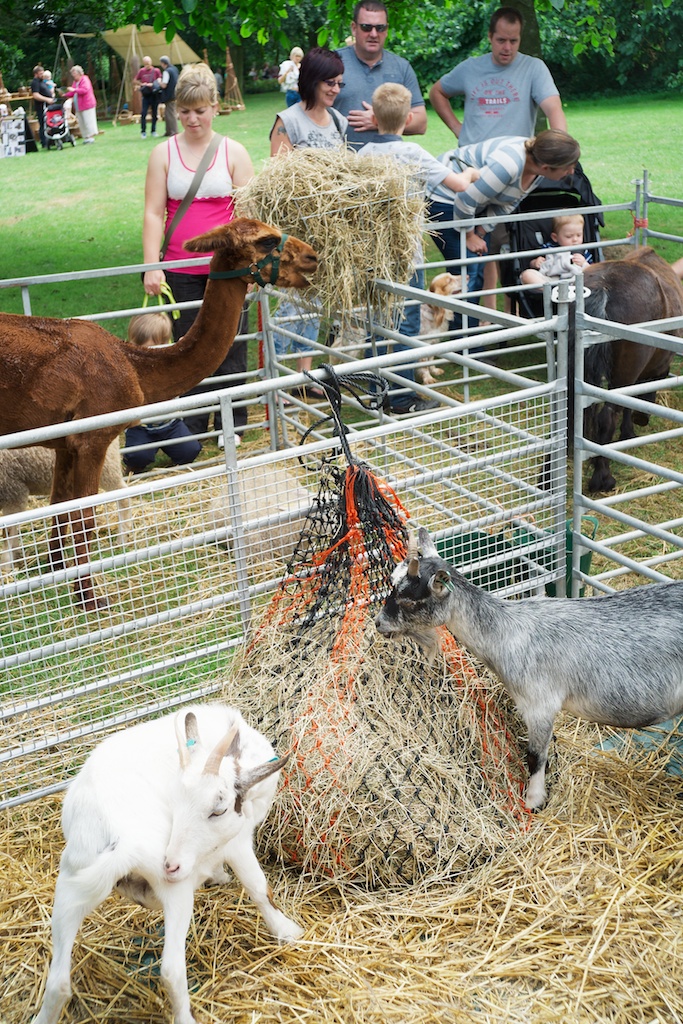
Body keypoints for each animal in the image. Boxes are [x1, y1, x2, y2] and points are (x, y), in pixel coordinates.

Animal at [0, 436, 130, 573]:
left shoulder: (15, 492)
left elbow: (7, 533)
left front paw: (6, 566)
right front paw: (16, 557)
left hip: (107, 466)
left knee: (123, 496)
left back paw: (122, 538)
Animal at [31, 704, 305, 1024]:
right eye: (221, 809)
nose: (171, 863)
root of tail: (122, 838)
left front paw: (219, 876)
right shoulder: (237, 841)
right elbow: (259, 888)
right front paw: (288, 931)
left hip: (71, 881)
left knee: (58, 983)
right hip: (176, 890)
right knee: (171, 970)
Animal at [376, 528, 683, 806]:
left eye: (411, 600)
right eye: (391, 583)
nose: (379, 623)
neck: (507, 632)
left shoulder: (540, 704)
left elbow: (535, 756)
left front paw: (534, 801)